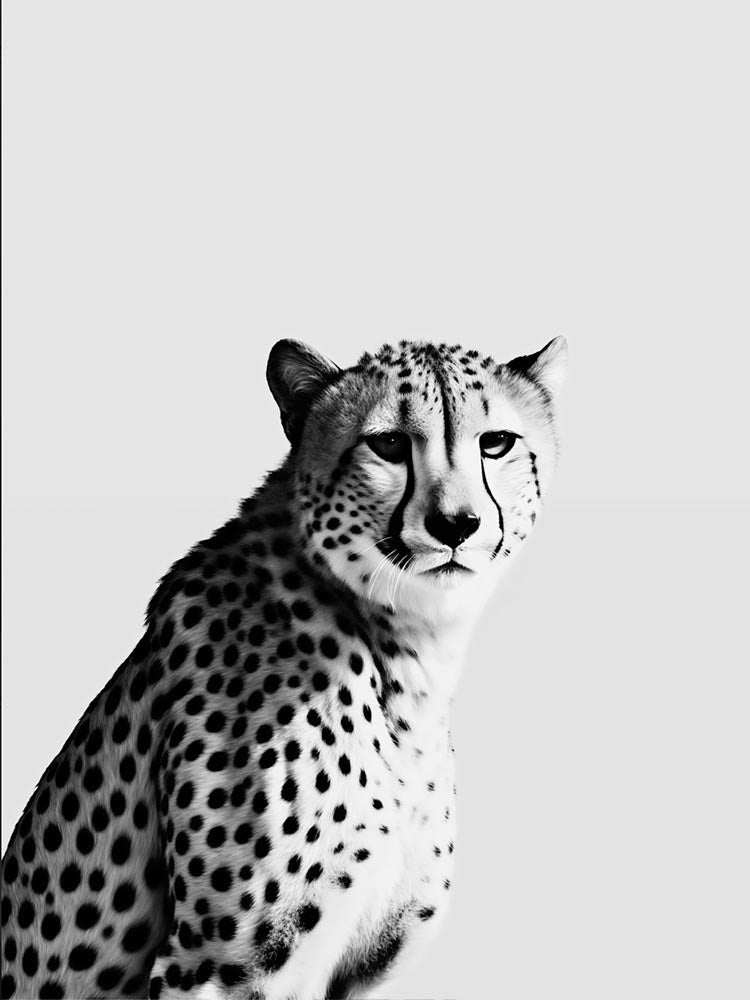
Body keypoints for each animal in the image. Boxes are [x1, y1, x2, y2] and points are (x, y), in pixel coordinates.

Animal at [0, 335, 567, 999]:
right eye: (389, 444)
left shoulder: (366, 971)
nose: (456, 524)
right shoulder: (217, 964)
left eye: (495, 442)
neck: (405, 652)